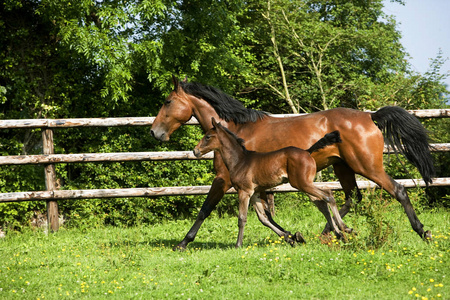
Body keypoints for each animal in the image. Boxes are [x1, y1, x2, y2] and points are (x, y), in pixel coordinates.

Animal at [193, 118, 352, 247]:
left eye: (207, 136)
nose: (195, 151)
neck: (240, 161)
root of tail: (307, 151)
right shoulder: (254, 193)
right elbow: (264, 218)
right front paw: (289, 237)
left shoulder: (244, 191)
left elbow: (242, 218)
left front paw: (238, 245)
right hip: (305, 184)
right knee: (323, 202)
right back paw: (339, 232)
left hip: (301, 184)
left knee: (328, 195)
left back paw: (343, 228)